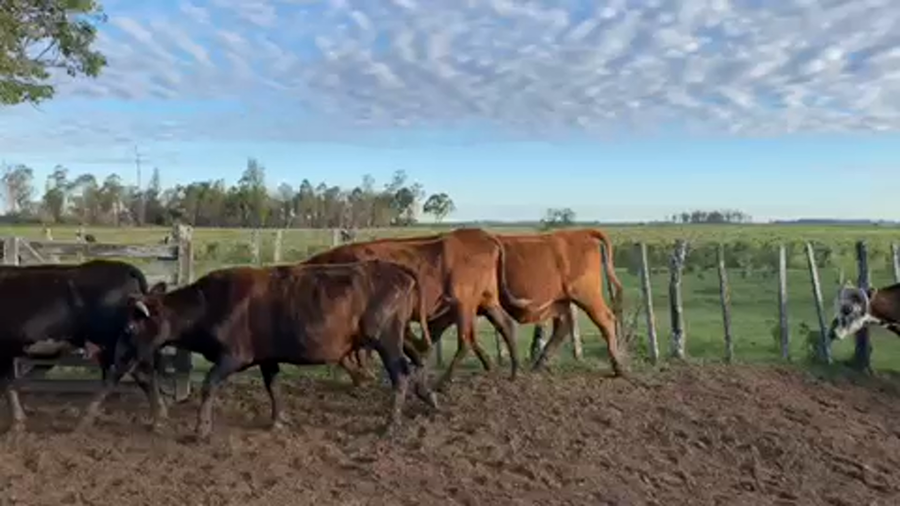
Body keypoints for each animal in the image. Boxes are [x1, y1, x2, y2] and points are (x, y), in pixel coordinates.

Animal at [0, 260, 165, 433]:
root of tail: (126, 268)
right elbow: (9, 383)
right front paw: (18, 421)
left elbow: (7, 383)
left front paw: (16, 423)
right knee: (143, 372)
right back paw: (158, 419)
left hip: (110, 342)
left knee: (115, 375)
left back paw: (84, 420)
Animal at [109, 260, 438, 441]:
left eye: (129, 329)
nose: (118, 360)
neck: (209, 303)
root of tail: (398, 271)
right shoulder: (267, 358)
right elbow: (274, 387)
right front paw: (279, 420)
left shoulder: (233, 356)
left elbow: (209, 385)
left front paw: (201, 429)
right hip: (400, 335)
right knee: (418, 359)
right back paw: (430, 398)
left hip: (386, 339)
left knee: (401, 373)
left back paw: (391, 425)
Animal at [302, 228, 532, 391]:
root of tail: (485, 235)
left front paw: (363, 377)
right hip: (486, 300)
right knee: (503, 325)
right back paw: (511, 371)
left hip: (464, 303)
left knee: (466, 340)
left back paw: (443, 381)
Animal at [489, 228, 627, 377]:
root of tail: (582, 233)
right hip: (562, 301)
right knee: (563, 325)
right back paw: (539, 364)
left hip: (587, 295)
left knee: (605, 320)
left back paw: (618, 366)